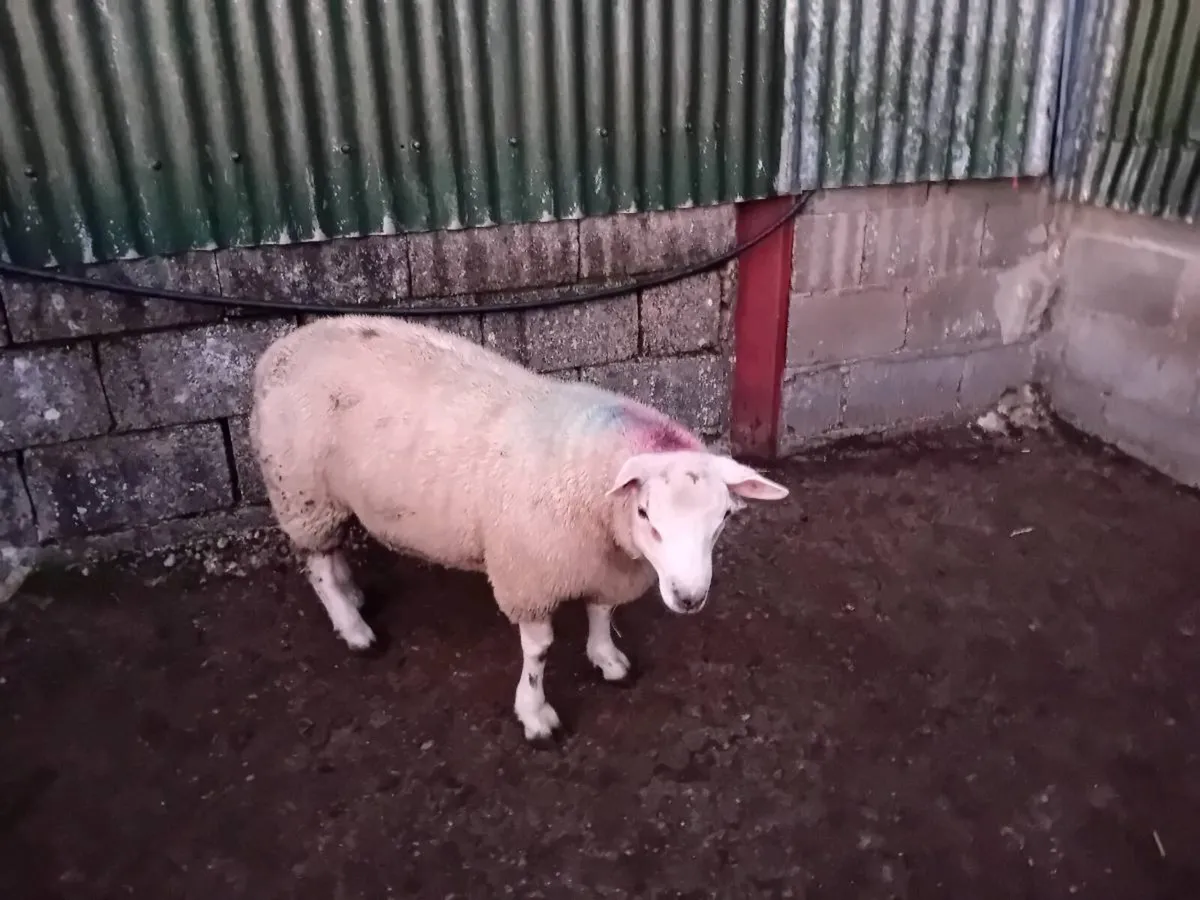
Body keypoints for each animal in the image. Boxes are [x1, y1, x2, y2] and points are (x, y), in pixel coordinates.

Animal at [249, 314, 789, 743]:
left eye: (723, 518)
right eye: (645, 515)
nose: (689, 597)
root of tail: (279, 348)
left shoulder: (601, 565)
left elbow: (601, 611)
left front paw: (606, 657)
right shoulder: (529, 576)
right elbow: (540, 651)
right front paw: (535, 714)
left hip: (322, 495)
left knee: (333, 549)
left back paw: (353, 595)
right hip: (300, 488)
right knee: (318, 562)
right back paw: (353, 626)